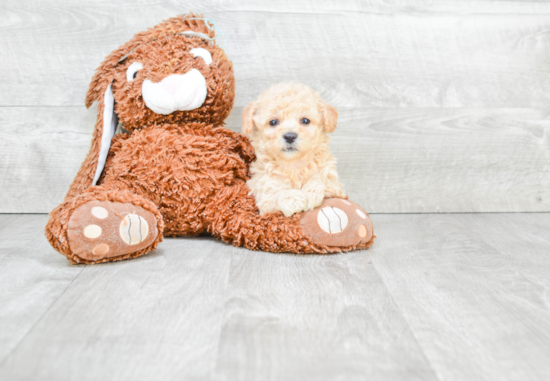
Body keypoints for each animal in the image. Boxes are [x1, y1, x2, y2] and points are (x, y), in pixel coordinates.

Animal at [243, 81, 344, 215]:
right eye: (273, 122)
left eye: (305, 120)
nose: (290, 136)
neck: (294, 165)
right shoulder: (264, 195)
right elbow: (276, 194)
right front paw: (293, 199)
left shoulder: (335, 186)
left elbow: (321, 178)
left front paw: (310, 195)